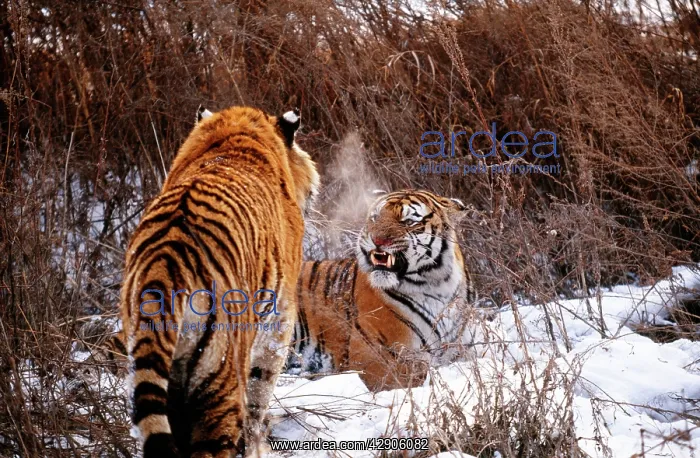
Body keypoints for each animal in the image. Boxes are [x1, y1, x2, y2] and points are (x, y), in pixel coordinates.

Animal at [288, 189, 472, 391]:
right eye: (375, 218)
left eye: (408, 221)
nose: (377, 240)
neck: (437, 286)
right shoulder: (371, 356)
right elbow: (414, 376)